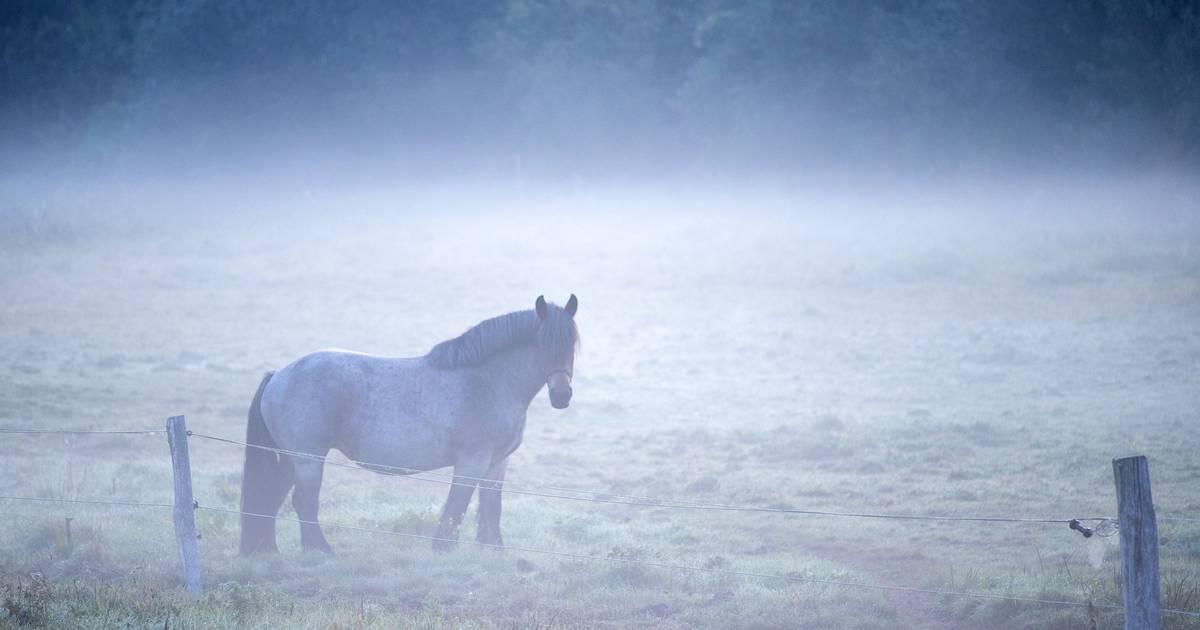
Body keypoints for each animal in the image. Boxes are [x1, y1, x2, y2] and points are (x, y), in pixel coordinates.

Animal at [238, 294, 579, 555]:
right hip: (308, 459)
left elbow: (491, 506)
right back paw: (320, 550)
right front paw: (443, 547)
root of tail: (278, 375)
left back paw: (267, 549)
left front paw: (493, 548)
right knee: (304, 502)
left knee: (271, 497)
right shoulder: (472, 461)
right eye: (542, 343)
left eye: (572, 344)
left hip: (290, 459)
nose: (562, 395)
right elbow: (457, 505)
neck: (489, 380)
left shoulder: (498, 462)